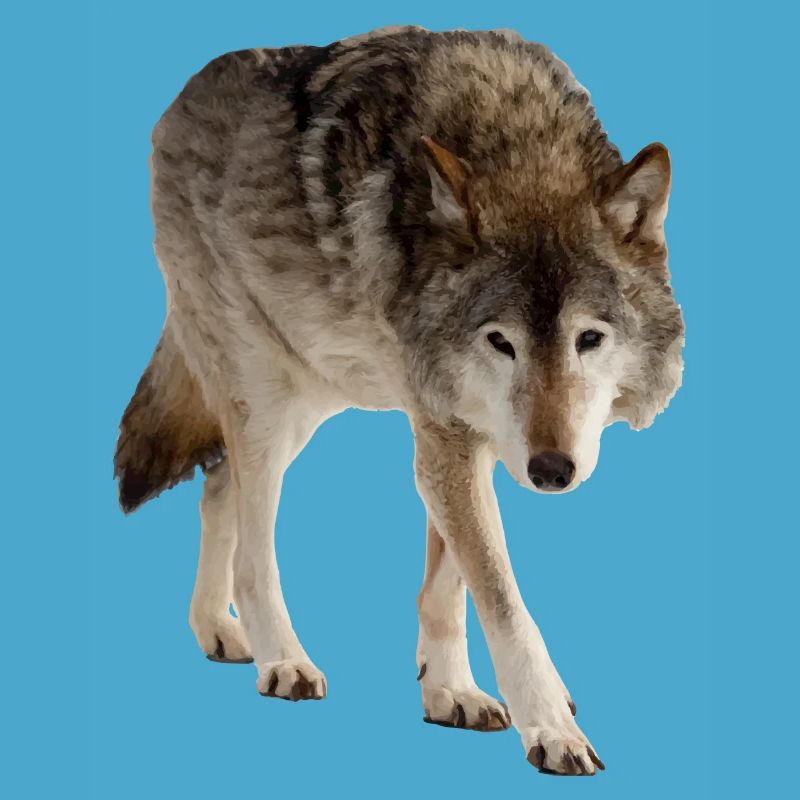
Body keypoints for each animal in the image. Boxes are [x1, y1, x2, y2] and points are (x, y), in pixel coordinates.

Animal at [114, 26, 684, 776]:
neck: (518, 140)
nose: (550, 471)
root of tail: (179, 97)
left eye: (589, 338)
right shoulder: (446, 434)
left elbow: (447, 588)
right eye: (501, 343)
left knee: (216, 486)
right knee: (251, 544)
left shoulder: (460, 434)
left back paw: (218, 630)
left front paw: (449, 692)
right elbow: (502, 600)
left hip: (309, 397)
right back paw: (281, 659)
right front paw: (553, 727)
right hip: (265, 399)